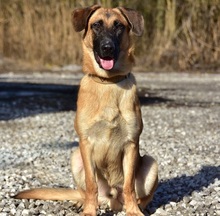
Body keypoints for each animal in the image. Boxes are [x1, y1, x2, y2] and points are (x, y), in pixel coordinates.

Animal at [13, 5, 158, 216]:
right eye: (96, 25)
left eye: (119, 26)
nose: (107, 48)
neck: (108, 82)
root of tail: (112, 199)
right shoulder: (86, 144)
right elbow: (91, 185)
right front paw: (89, 210)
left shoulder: (131, 144)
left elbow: (129, 185)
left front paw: (133, 211)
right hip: (75, 157)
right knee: (86, 192)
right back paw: (82, 203)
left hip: (151, 163)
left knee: (139, 195)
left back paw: (137, 207)